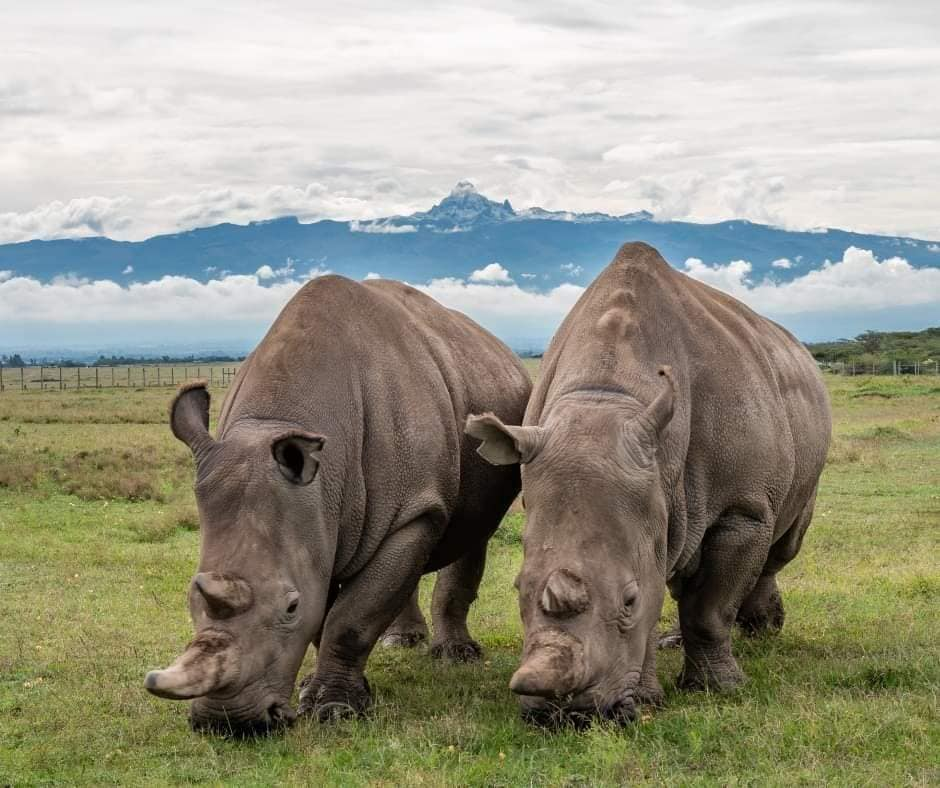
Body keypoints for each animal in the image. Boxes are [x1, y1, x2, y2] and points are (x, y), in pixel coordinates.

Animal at [145, 276, 530, 735]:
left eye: (290, 607)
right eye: (191, 597)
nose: (229, 723)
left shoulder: (411, 510)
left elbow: (350, 617)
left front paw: (335, 710)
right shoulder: (314, 519)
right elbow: (329, 611)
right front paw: (320, 691)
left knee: (471, 533)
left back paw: (456, 657)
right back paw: (401, 642)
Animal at [467, 242, 831, 724]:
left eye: (629, 600)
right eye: (517, 590)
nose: (563, 714)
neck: (607, 397)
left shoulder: (743, 509)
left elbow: (709, 609)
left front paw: (720, 688)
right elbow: (662, 581)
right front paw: (646, 699)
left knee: (780, 546)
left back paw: (762, 631)